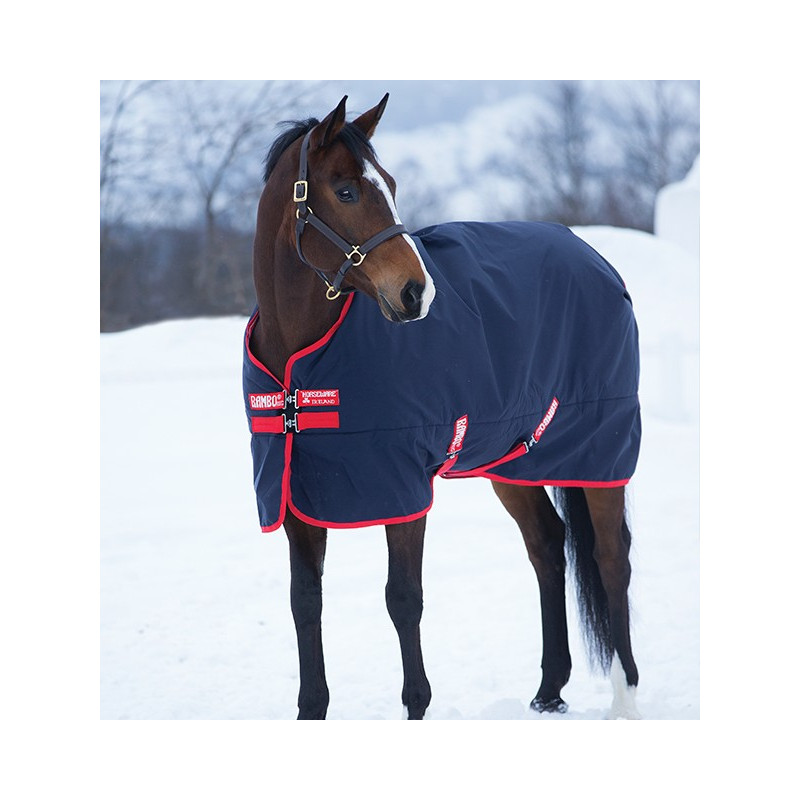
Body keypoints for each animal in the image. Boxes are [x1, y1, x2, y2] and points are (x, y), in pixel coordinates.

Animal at [244, 94, 642, 720]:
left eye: (390, 184)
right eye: (346, 191)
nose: (417, 293)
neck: (298, 363)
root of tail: (595, 258)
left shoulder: (404, 491)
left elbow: (403, 600)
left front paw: (417, 703)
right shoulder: (297, 498)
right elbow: (305, 603)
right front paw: (312, 706)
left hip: (599, 453)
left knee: (610, 559)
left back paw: (624, 699)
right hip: (513, 462)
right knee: (547, 547)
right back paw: (548, 692)